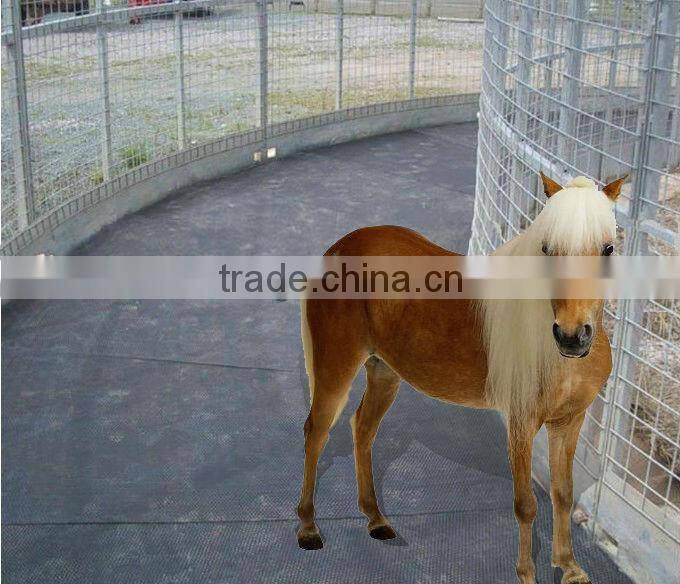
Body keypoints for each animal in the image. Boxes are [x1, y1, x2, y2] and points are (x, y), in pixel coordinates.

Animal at [296, 173, 627, 584]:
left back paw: (376, 520)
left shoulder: (568, 422)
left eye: (608, 248)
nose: (571, 336)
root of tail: (340, 247)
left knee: (363, 428)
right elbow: (526, 504)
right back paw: (308, 529)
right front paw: (527, 574)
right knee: (316, 433)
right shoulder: (521, 423)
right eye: (547, 249)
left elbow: (562, 494)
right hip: (335, 369)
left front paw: (569, 567)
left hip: (385, 372)